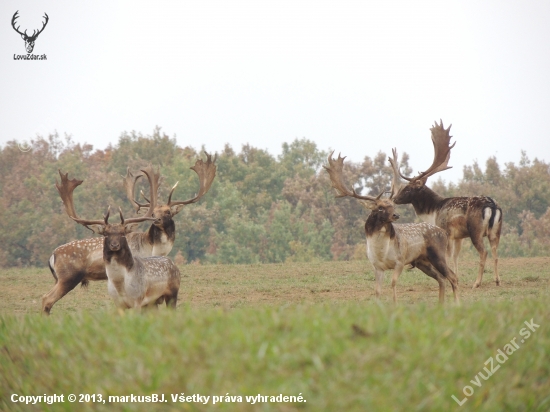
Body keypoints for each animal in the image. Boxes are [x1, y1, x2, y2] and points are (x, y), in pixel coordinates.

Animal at [42, 153, 218, 314]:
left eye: (168, 212)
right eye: (153, 212)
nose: (156, 219)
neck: (152, 248)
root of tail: (52, 256)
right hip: (68, 276)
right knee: (47, 298)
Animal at [324, 151, 462, 302]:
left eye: (393, 205)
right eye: (380, 208)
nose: (396, 215)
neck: (382, 252)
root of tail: (443, 232)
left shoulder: (400, 261)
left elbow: (393, 284)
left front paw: (395, 304)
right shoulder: (377, 266)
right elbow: (377, 290)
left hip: (438, 255)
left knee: (453, 277)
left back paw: (456, 303)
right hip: (423, 262)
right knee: (441, 279)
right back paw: (440, 304)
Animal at [390, 121, 502, 290]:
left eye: (408, 188)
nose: (395, 198)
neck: (433, 211)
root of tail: (492, 206)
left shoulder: (445, 230)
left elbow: (447, 256)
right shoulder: (458, 236)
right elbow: (455, 257)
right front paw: (457, 278)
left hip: (475, 230)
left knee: (484, 252)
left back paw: (477, 283)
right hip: (496, 231)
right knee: (495, 252)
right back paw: (497, 280)